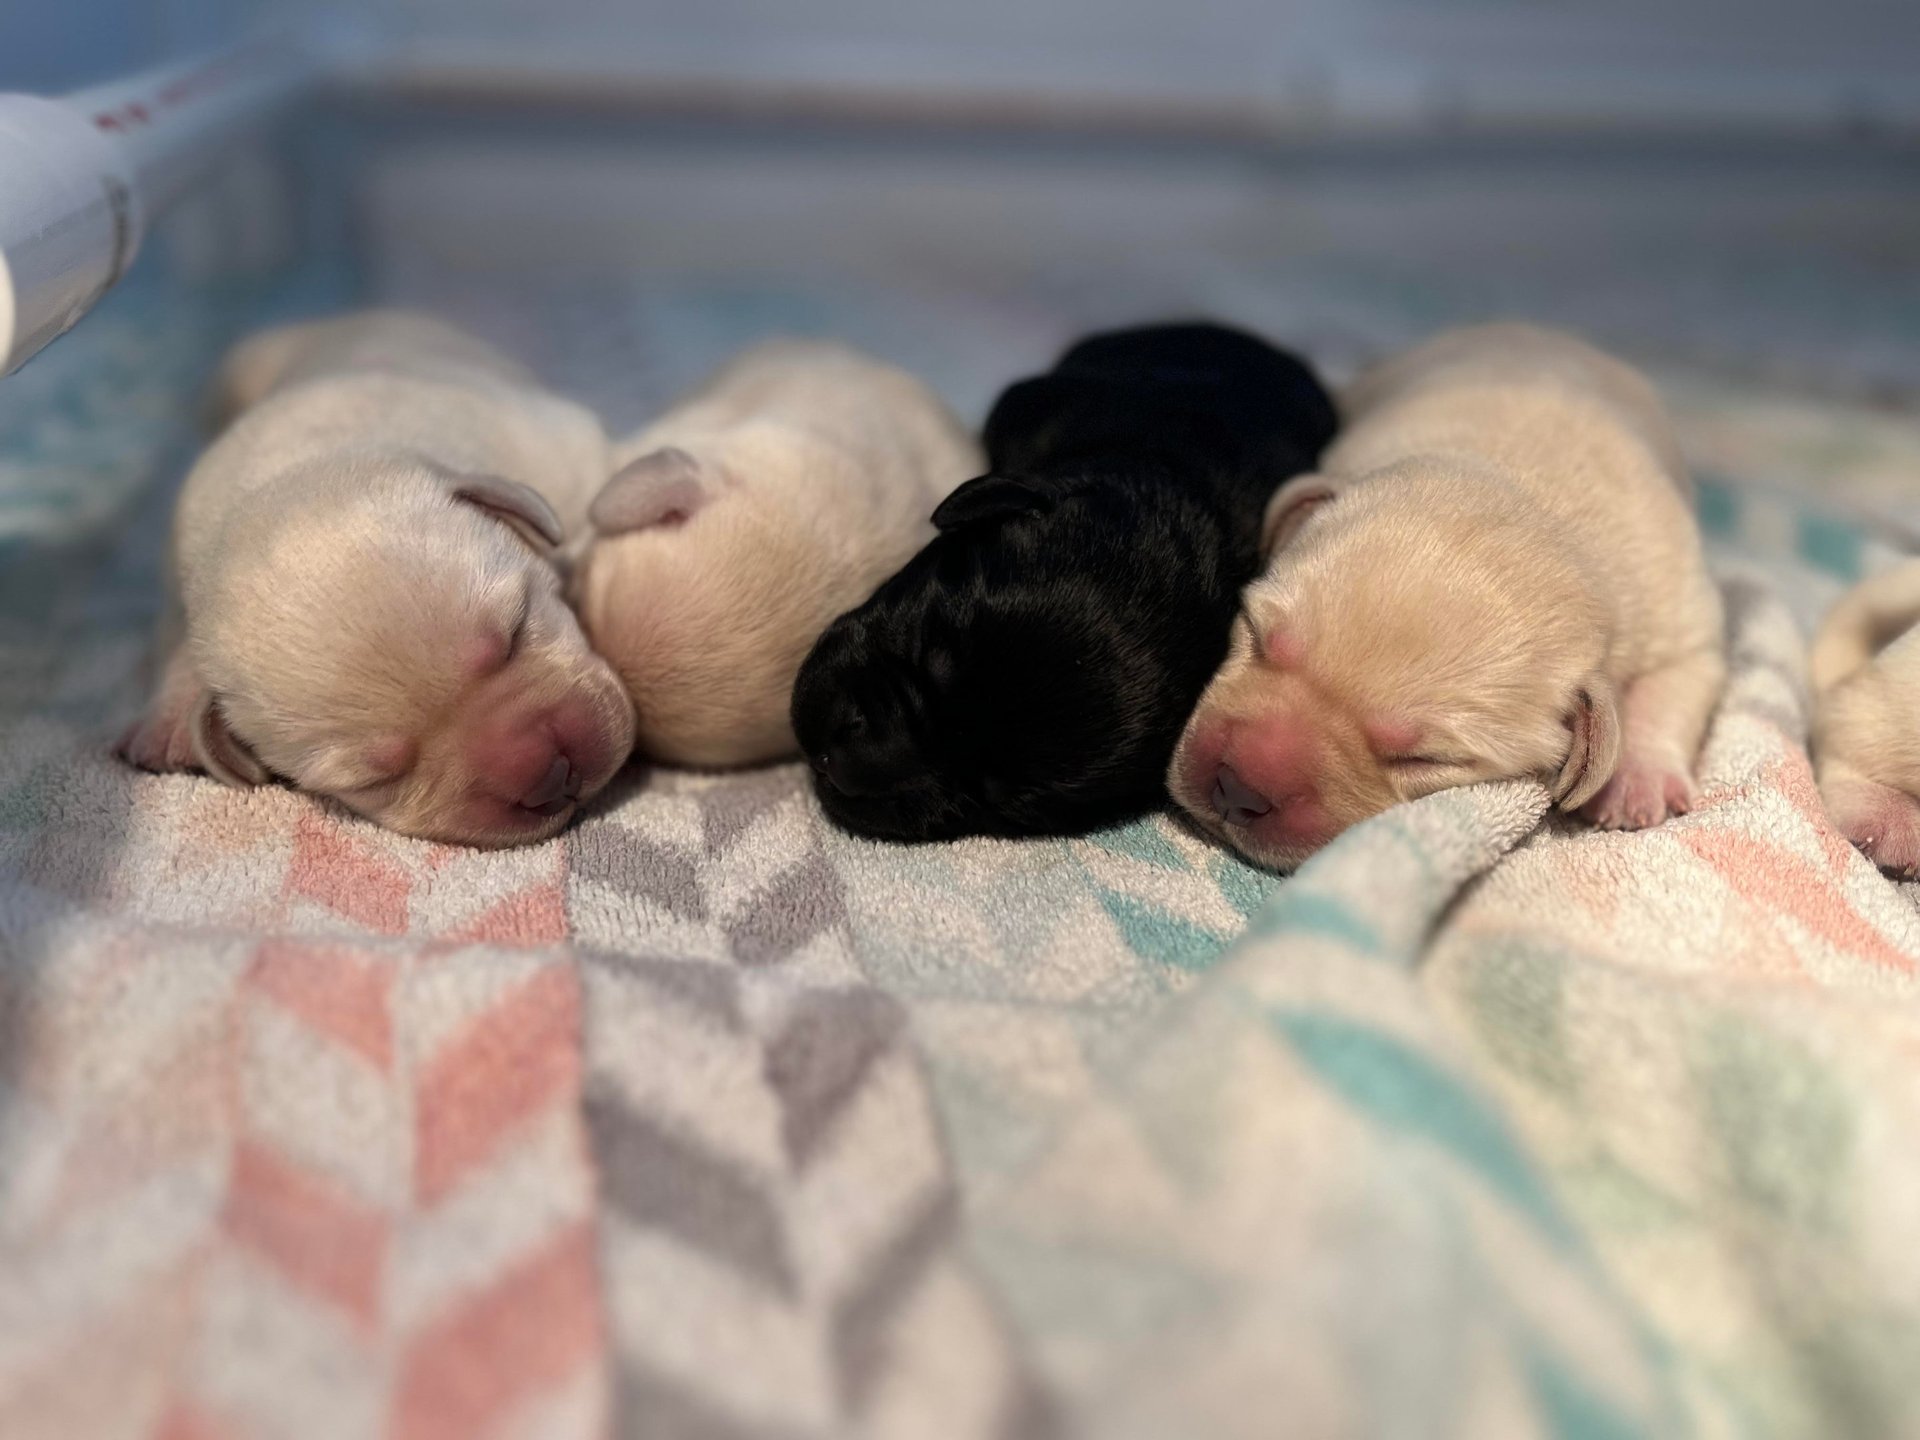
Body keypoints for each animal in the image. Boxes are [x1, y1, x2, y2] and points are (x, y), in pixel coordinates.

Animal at [118, 305, 637, 844]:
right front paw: (171, 719)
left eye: (514, 630)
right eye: (375, 778)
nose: (554, 777)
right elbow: (176, 634)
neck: (292, 465)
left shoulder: (556, 446)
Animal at [1167, 322, 1728, 875]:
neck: (1526, 486)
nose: (1237, 788)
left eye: (1424, 760)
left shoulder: (1681, 611)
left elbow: (1672, 688)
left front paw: (1637, 783)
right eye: (1255, 633)